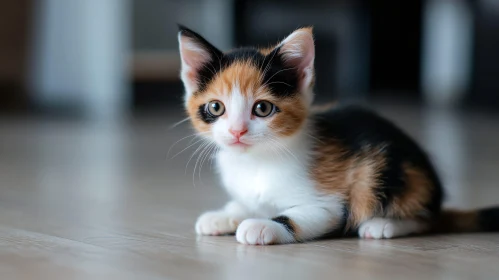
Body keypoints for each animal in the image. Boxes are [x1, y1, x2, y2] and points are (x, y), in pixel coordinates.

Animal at [179, 25, 499, 244]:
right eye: (216, 107)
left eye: (262, 108)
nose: (237, 131)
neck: (256, 160)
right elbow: (246, 203)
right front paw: (223, 214)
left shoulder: (329, 205)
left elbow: (299, 216)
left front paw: (260, 225)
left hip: (390, 176)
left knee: (424, 219)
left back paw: (382, 225)